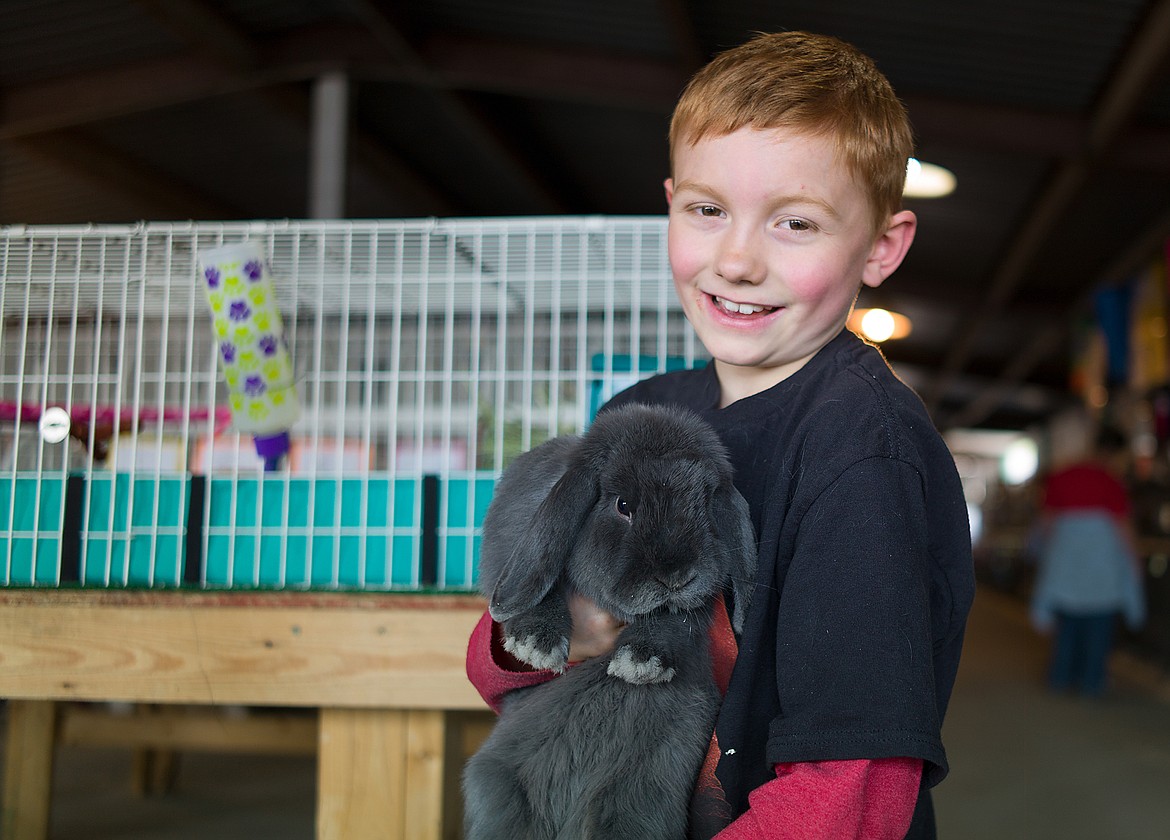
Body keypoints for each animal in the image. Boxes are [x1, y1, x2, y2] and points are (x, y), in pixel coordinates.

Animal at [463, 404, 758, 840]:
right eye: (622, 505)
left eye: (704, 505)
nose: (676, 576)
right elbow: (548, 582)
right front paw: (534, 644)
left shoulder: (689, 609)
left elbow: (670, 620)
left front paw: (642, 662)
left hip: (635, 800)